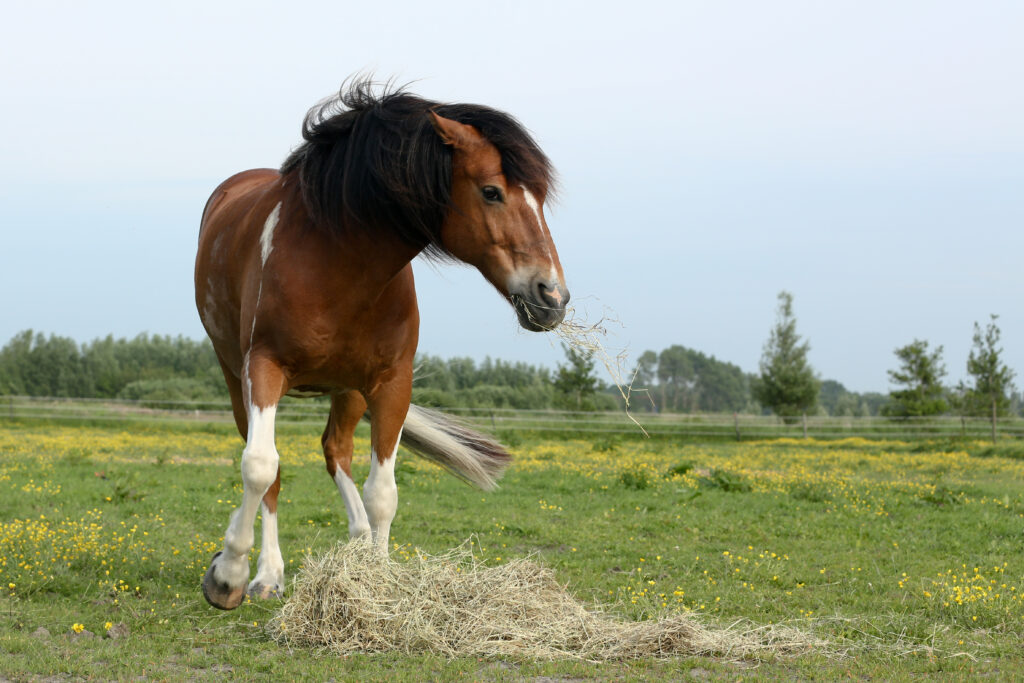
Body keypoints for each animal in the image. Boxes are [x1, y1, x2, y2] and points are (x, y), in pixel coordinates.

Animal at [193, 80, 569, 610]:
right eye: (491, 192)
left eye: (538, 197)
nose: (552, 297)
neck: (339, 260)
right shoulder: (263, 367)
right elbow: (261, 467)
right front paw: (227, 577)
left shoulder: (392, 383)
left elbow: (383, 493)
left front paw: (378, 580)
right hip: (235, 376)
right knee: (269, 470)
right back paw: (267, 574)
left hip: (347, 390)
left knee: (335, 450)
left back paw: (355, 542)